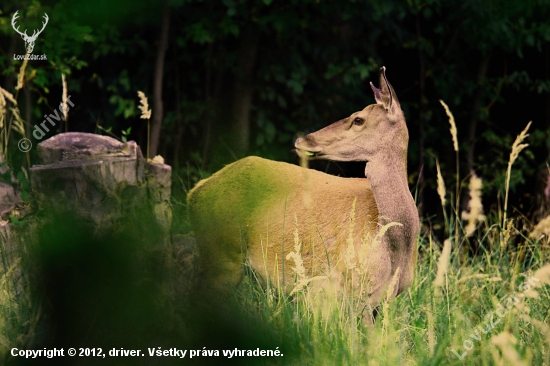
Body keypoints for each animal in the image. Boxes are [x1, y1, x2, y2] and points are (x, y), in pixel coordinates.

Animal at [188, 67, 420, 318]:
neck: (396, 245)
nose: (302, 139)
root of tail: (194, 192)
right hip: (222, 256)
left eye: (358, 119)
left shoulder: (377, 301)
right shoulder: (346, 290)